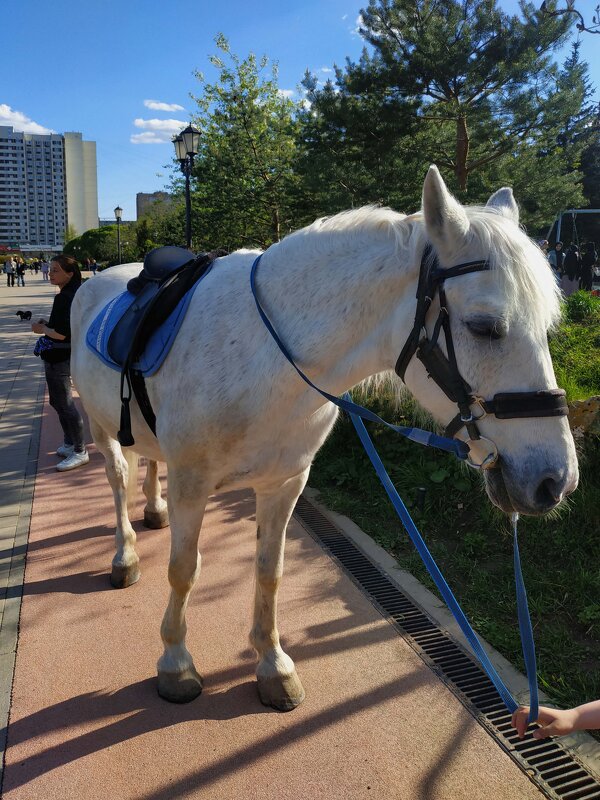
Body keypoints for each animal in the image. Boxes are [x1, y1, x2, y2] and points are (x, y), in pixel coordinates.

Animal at [69, 166, 576, 708]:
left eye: (548, 327)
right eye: (484, 327)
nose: (555, 480)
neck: (267, 358)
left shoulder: (285, 483)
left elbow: (269, 571)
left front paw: (272, 665)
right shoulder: (193, 484)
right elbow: (184, 569)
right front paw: (176, 663)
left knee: (148, 461)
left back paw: (153, 508)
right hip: (100, 427)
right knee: (118, 477)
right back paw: (124, 554)